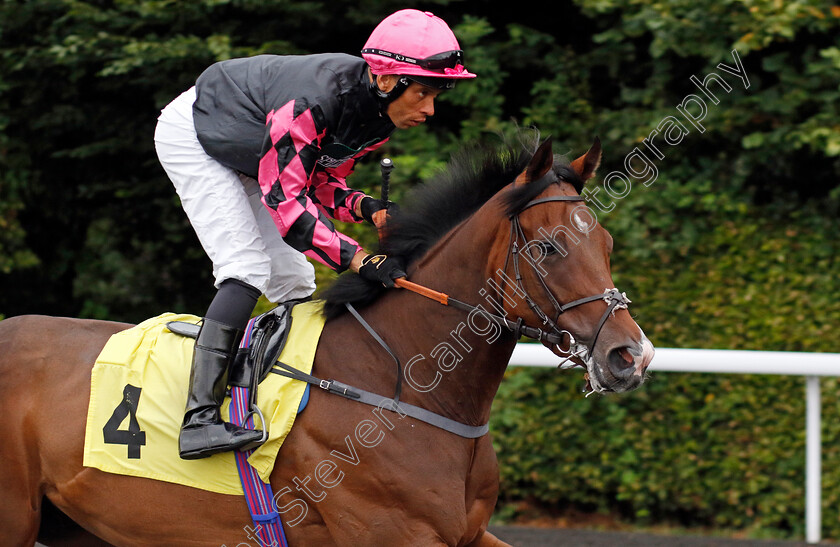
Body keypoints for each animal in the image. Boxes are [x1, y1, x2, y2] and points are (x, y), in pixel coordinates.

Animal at [0, 134, 652, 547]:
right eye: (547, 248)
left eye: (606, 243)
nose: (630, 354)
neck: (402, 387)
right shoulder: (395, 534)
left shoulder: (468, 534)